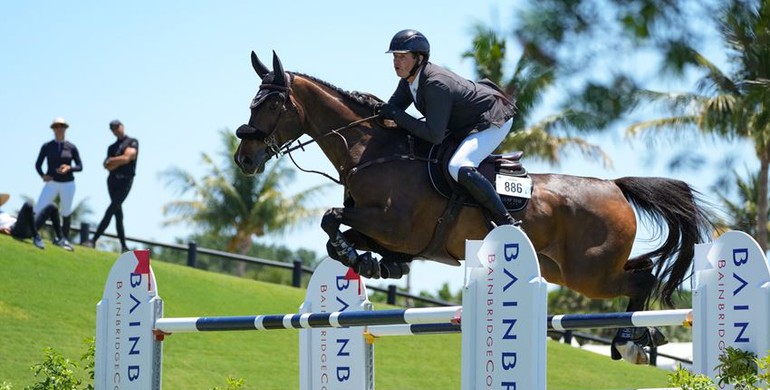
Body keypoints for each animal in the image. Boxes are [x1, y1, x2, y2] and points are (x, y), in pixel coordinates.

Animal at [232, 50, 708, 364]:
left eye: (271, 103)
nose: (244, 159)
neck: (374, 151)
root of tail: (615, 187)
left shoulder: (395, 225)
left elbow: (331, 219)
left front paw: (363, 259)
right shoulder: (387, 231)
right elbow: (339, 233)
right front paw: (374, 263)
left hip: (589, 272)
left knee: (641, 279)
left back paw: (630, 339)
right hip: (568, 269)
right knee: (644, 270)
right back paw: (640, 338)